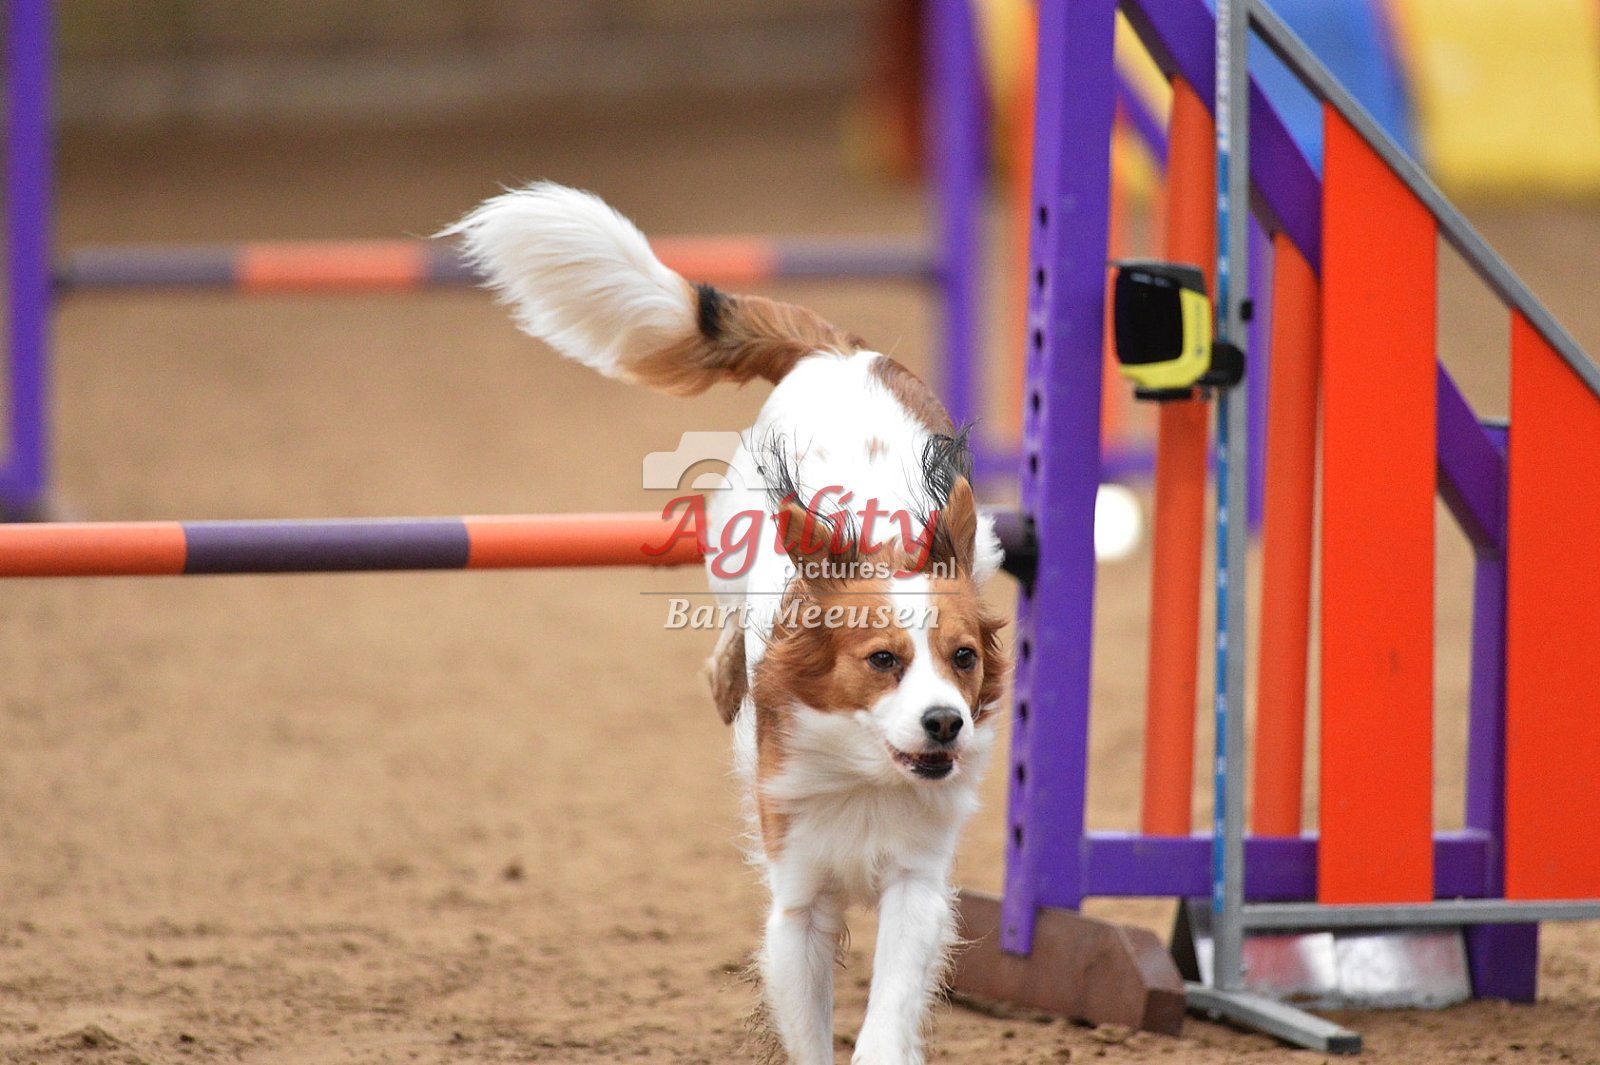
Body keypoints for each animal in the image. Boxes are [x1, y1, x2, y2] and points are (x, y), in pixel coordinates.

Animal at [445, 184, 1009, 1065]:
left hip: (975, 537)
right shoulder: (798, 898)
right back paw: (723, 674)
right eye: (882, 659)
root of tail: (842, 354)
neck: (863, 773)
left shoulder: (916, 880)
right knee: (729, 634)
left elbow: (886, 1015)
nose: (946, 723)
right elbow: (808, 1023)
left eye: (962, 658)